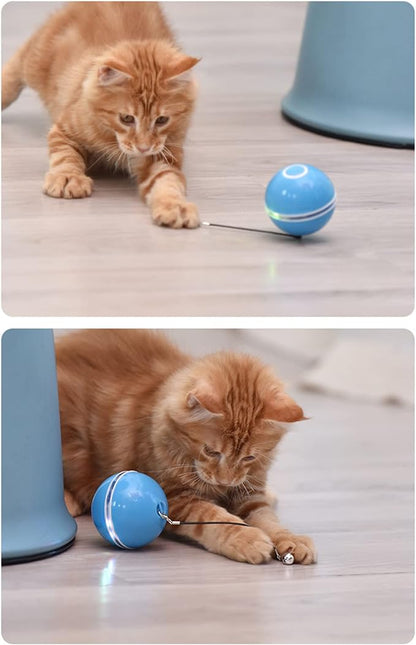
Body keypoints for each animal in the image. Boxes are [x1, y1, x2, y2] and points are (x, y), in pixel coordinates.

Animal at [2, 1, 200, 228]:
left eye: (162, 120)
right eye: (126, 118)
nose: (143, 147)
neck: (111, 136)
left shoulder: (162, 154)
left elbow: (168, 181)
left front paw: (175, 206)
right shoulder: (64, 129)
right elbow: (66, 155)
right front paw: (69, 177)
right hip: (36, 60)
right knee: (17, 63)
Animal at [56, 332, 316, 564]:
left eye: (249, 458)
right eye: (211, 451)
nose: (225, 480)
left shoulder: (250, 494)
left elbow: (268, 518)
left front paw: (291, 539)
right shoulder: (174, 497)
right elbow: (213, 516)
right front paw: (246, 538)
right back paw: (70, 501)